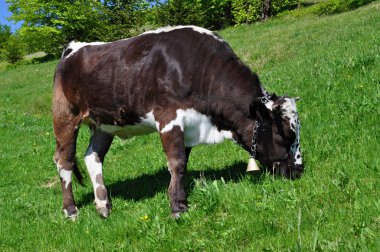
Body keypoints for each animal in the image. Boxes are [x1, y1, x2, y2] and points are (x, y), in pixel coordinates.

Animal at [52, 25, 302, 219]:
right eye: (286, 135)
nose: (298, 171)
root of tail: (72, 48)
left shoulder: (190, 125)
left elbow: (183, 163)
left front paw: (177, 198)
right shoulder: (169, 118)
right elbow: (177, 163)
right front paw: (178, 207)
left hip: (104, 123)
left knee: (92, 157)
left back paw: (104, 206)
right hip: (64, 117)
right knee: (64, 161)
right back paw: (71, 210)